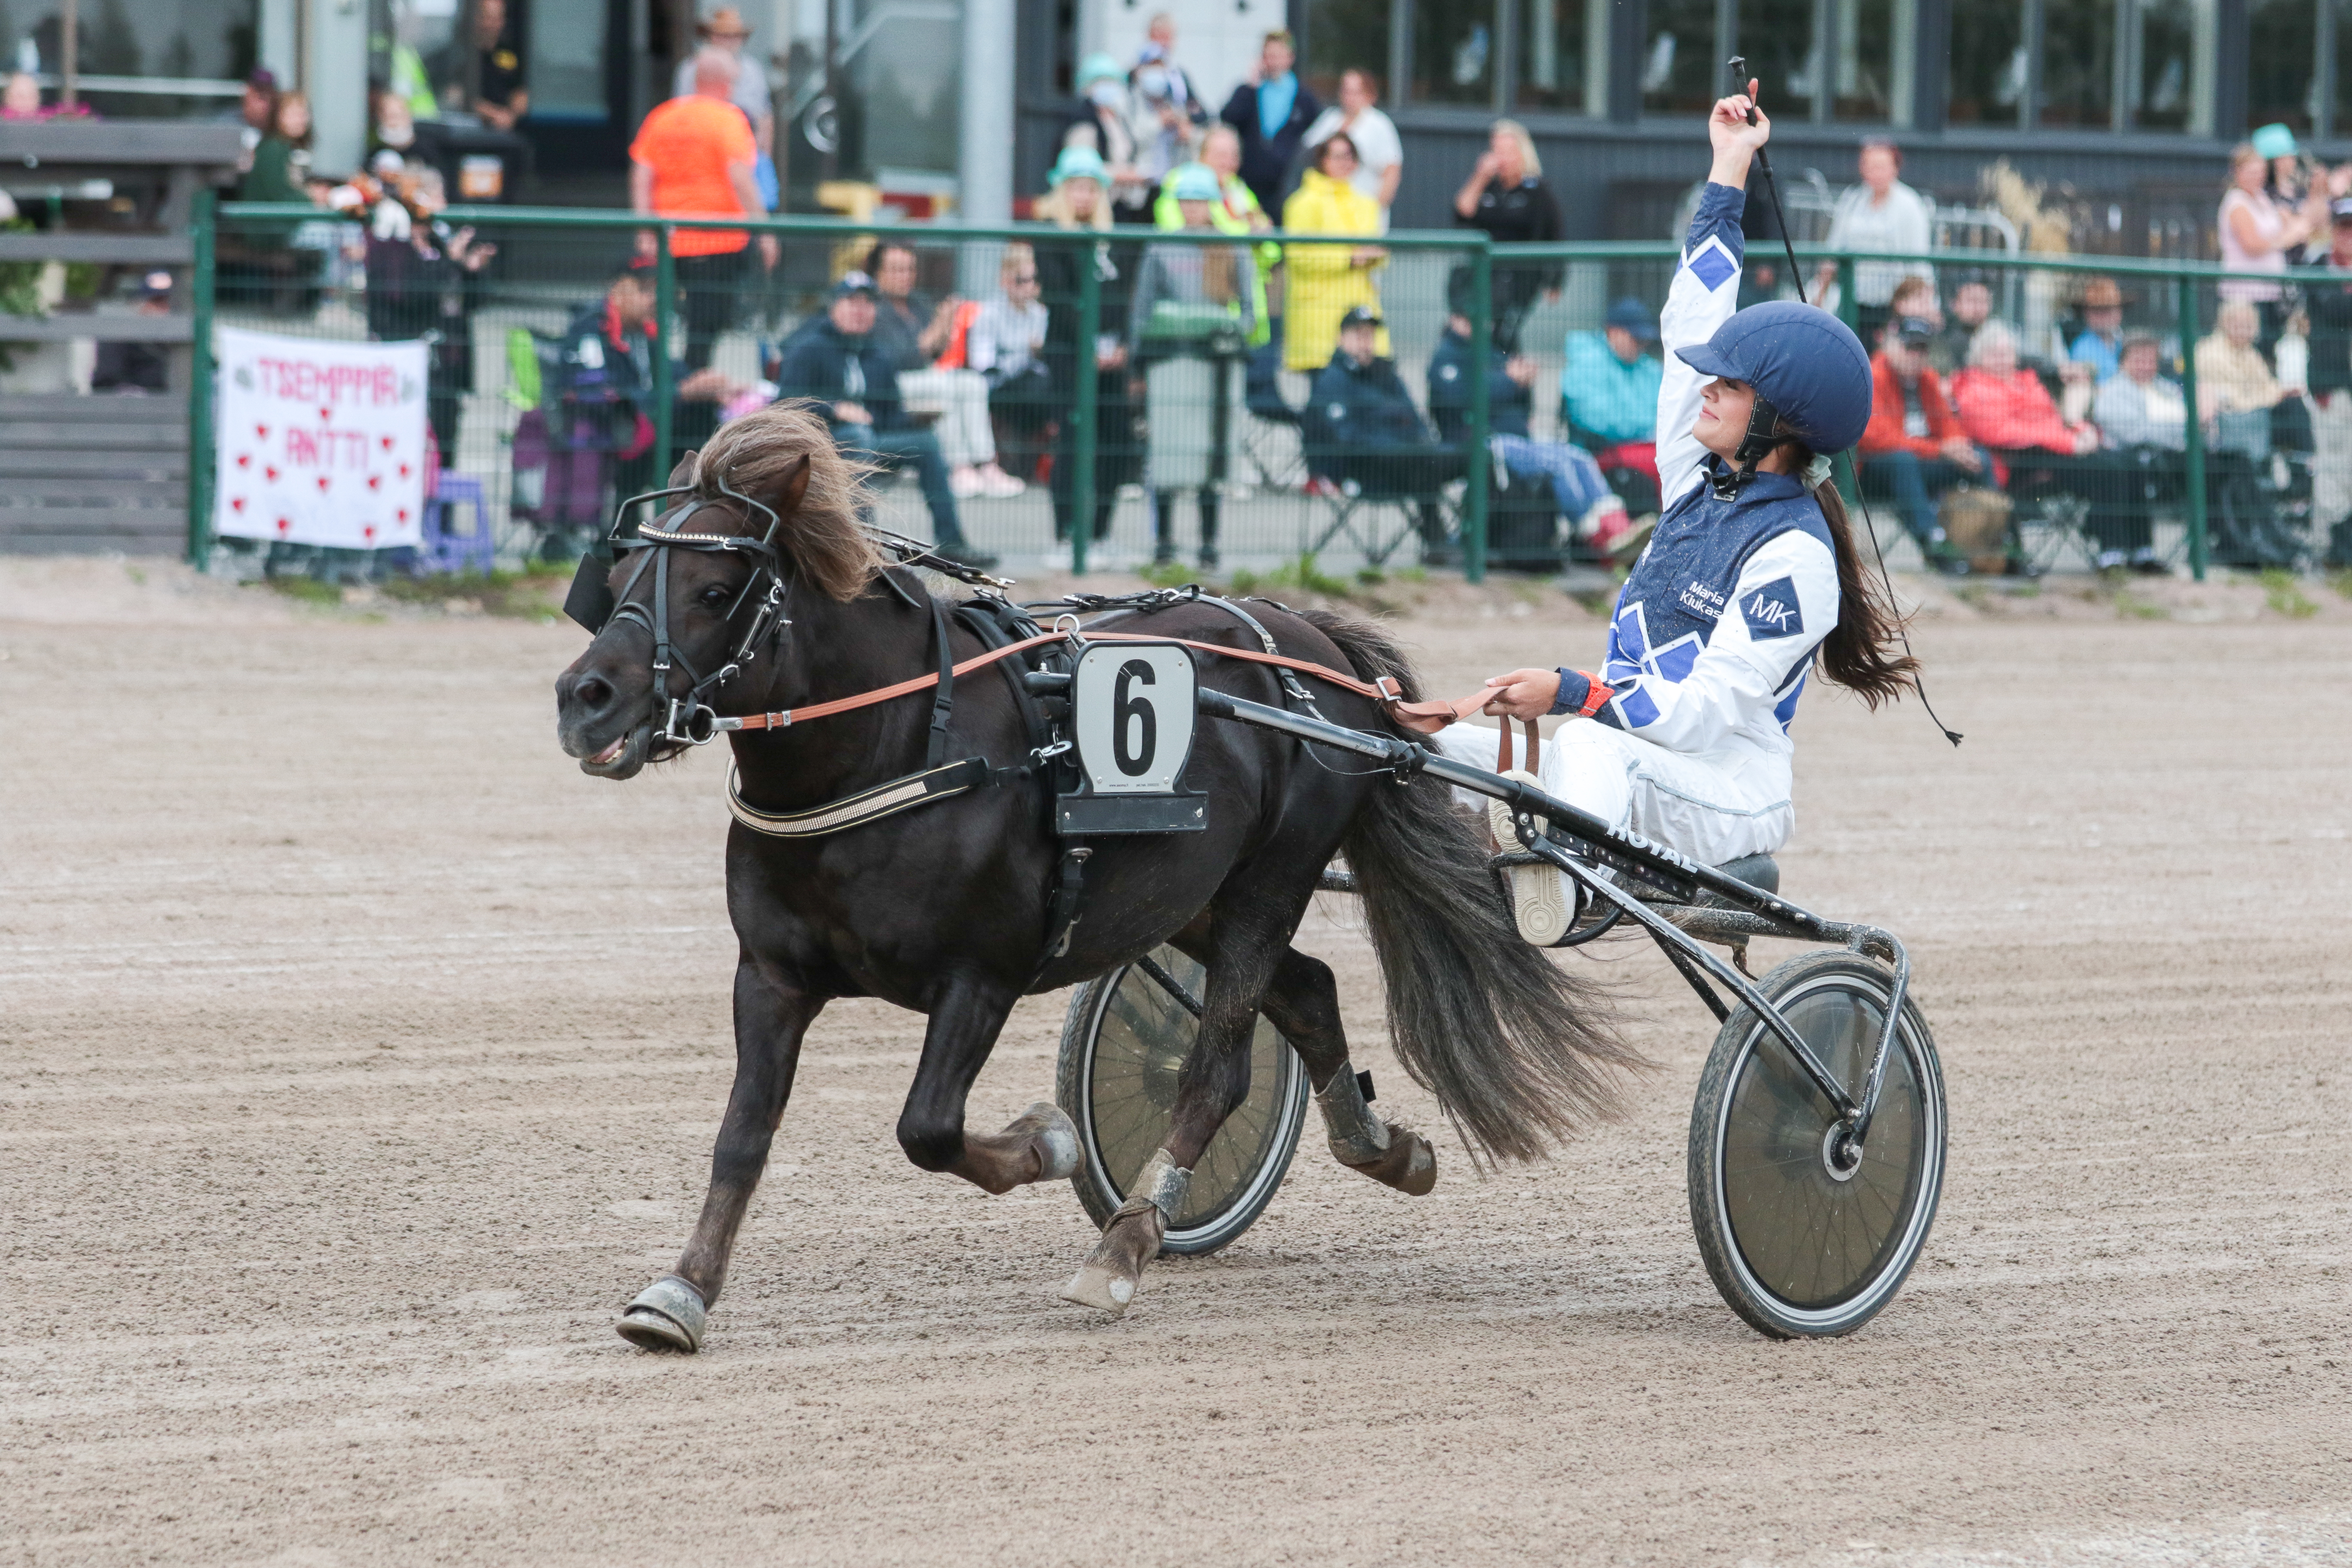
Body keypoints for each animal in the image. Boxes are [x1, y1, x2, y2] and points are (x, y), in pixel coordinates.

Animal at [555, 404, 1637, 1354]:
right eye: (623, 570)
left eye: (714, 589)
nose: (584, 697)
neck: (892, 748)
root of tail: (1318, 650)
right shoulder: (772, 975)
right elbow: (742, 1136)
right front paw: (681, 1293)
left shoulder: (980, 976)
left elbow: (929, 1129)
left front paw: (1050, 1143)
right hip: (1190, 892)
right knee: (1308, 991)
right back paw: (1376, 1147)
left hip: (1268, 880)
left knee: (1219, 1067)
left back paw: (1125, 1245)